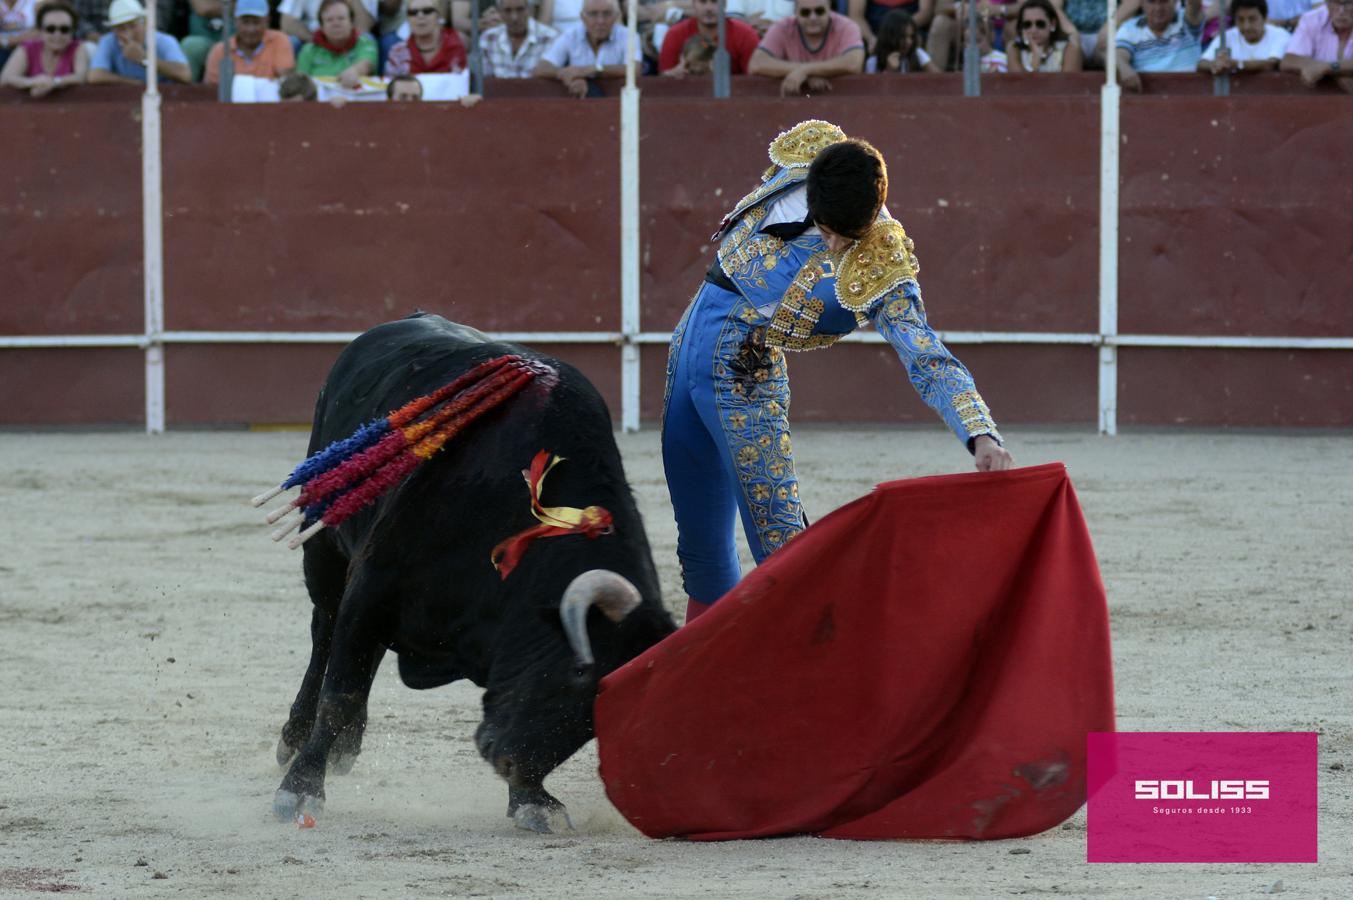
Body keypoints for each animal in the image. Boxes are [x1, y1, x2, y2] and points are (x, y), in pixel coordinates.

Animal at [269, 313, 676, 828]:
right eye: (579, 673)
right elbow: (340, 695)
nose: (508, 762)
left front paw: (532, 800)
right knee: (324, 633)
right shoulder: (372, 587)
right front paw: (300, 790)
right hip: (323, 547)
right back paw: (296, 739)